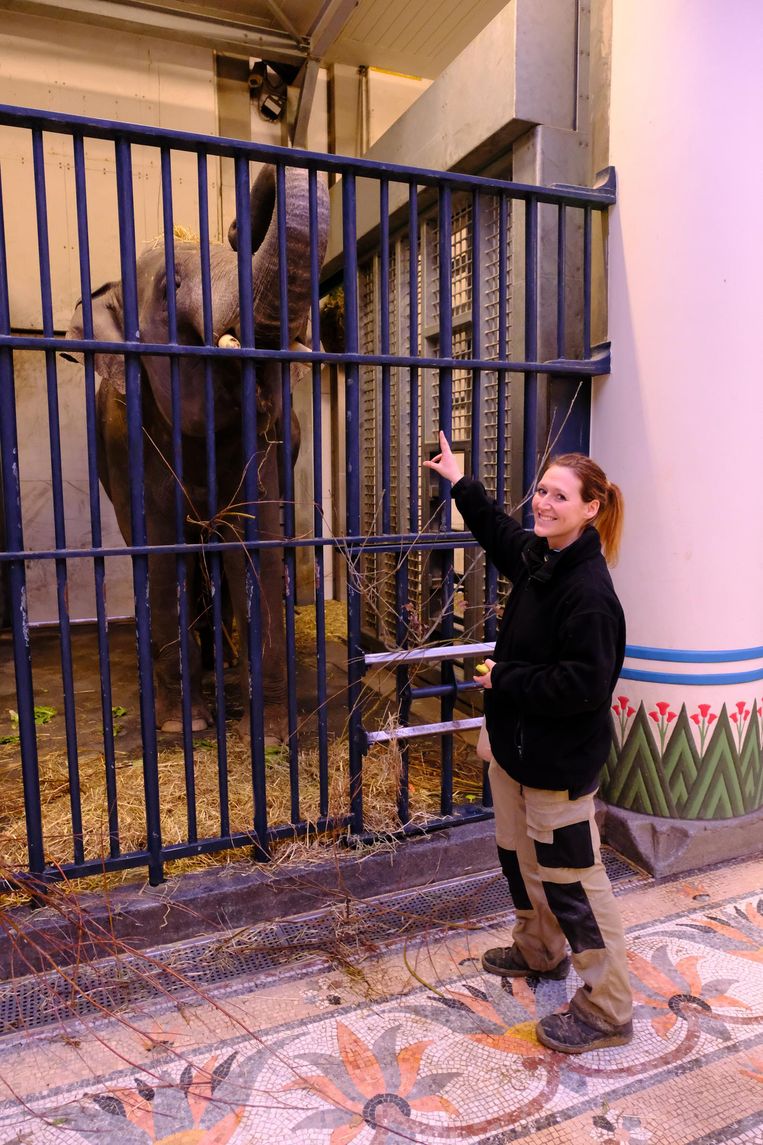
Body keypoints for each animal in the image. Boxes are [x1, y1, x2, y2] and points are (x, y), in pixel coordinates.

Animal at [63, 166, 329, 746]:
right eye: (173, 287)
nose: (235, 225)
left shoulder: (266, 447)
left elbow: (255, 552)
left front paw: (269, 737)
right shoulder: (128, 444)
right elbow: (163, 559)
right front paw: (178, 726)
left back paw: (222, 664)